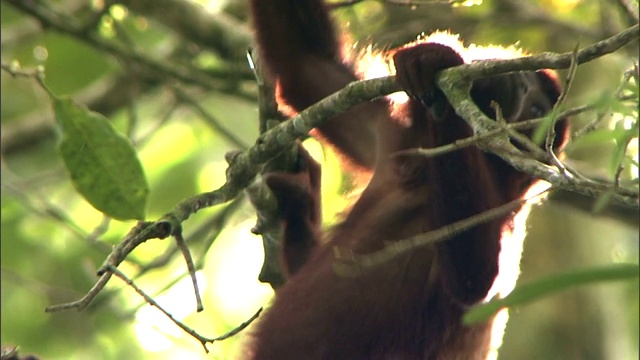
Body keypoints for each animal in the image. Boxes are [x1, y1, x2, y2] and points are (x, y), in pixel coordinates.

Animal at [248, 1, 568, 358]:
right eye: (528, 83)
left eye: (537, 111)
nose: (522, 84)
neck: (423, 176)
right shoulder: (392, 134)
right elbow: (305, 63)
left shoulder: (505, 213)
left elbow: (474, 279)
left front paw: (438, 73)